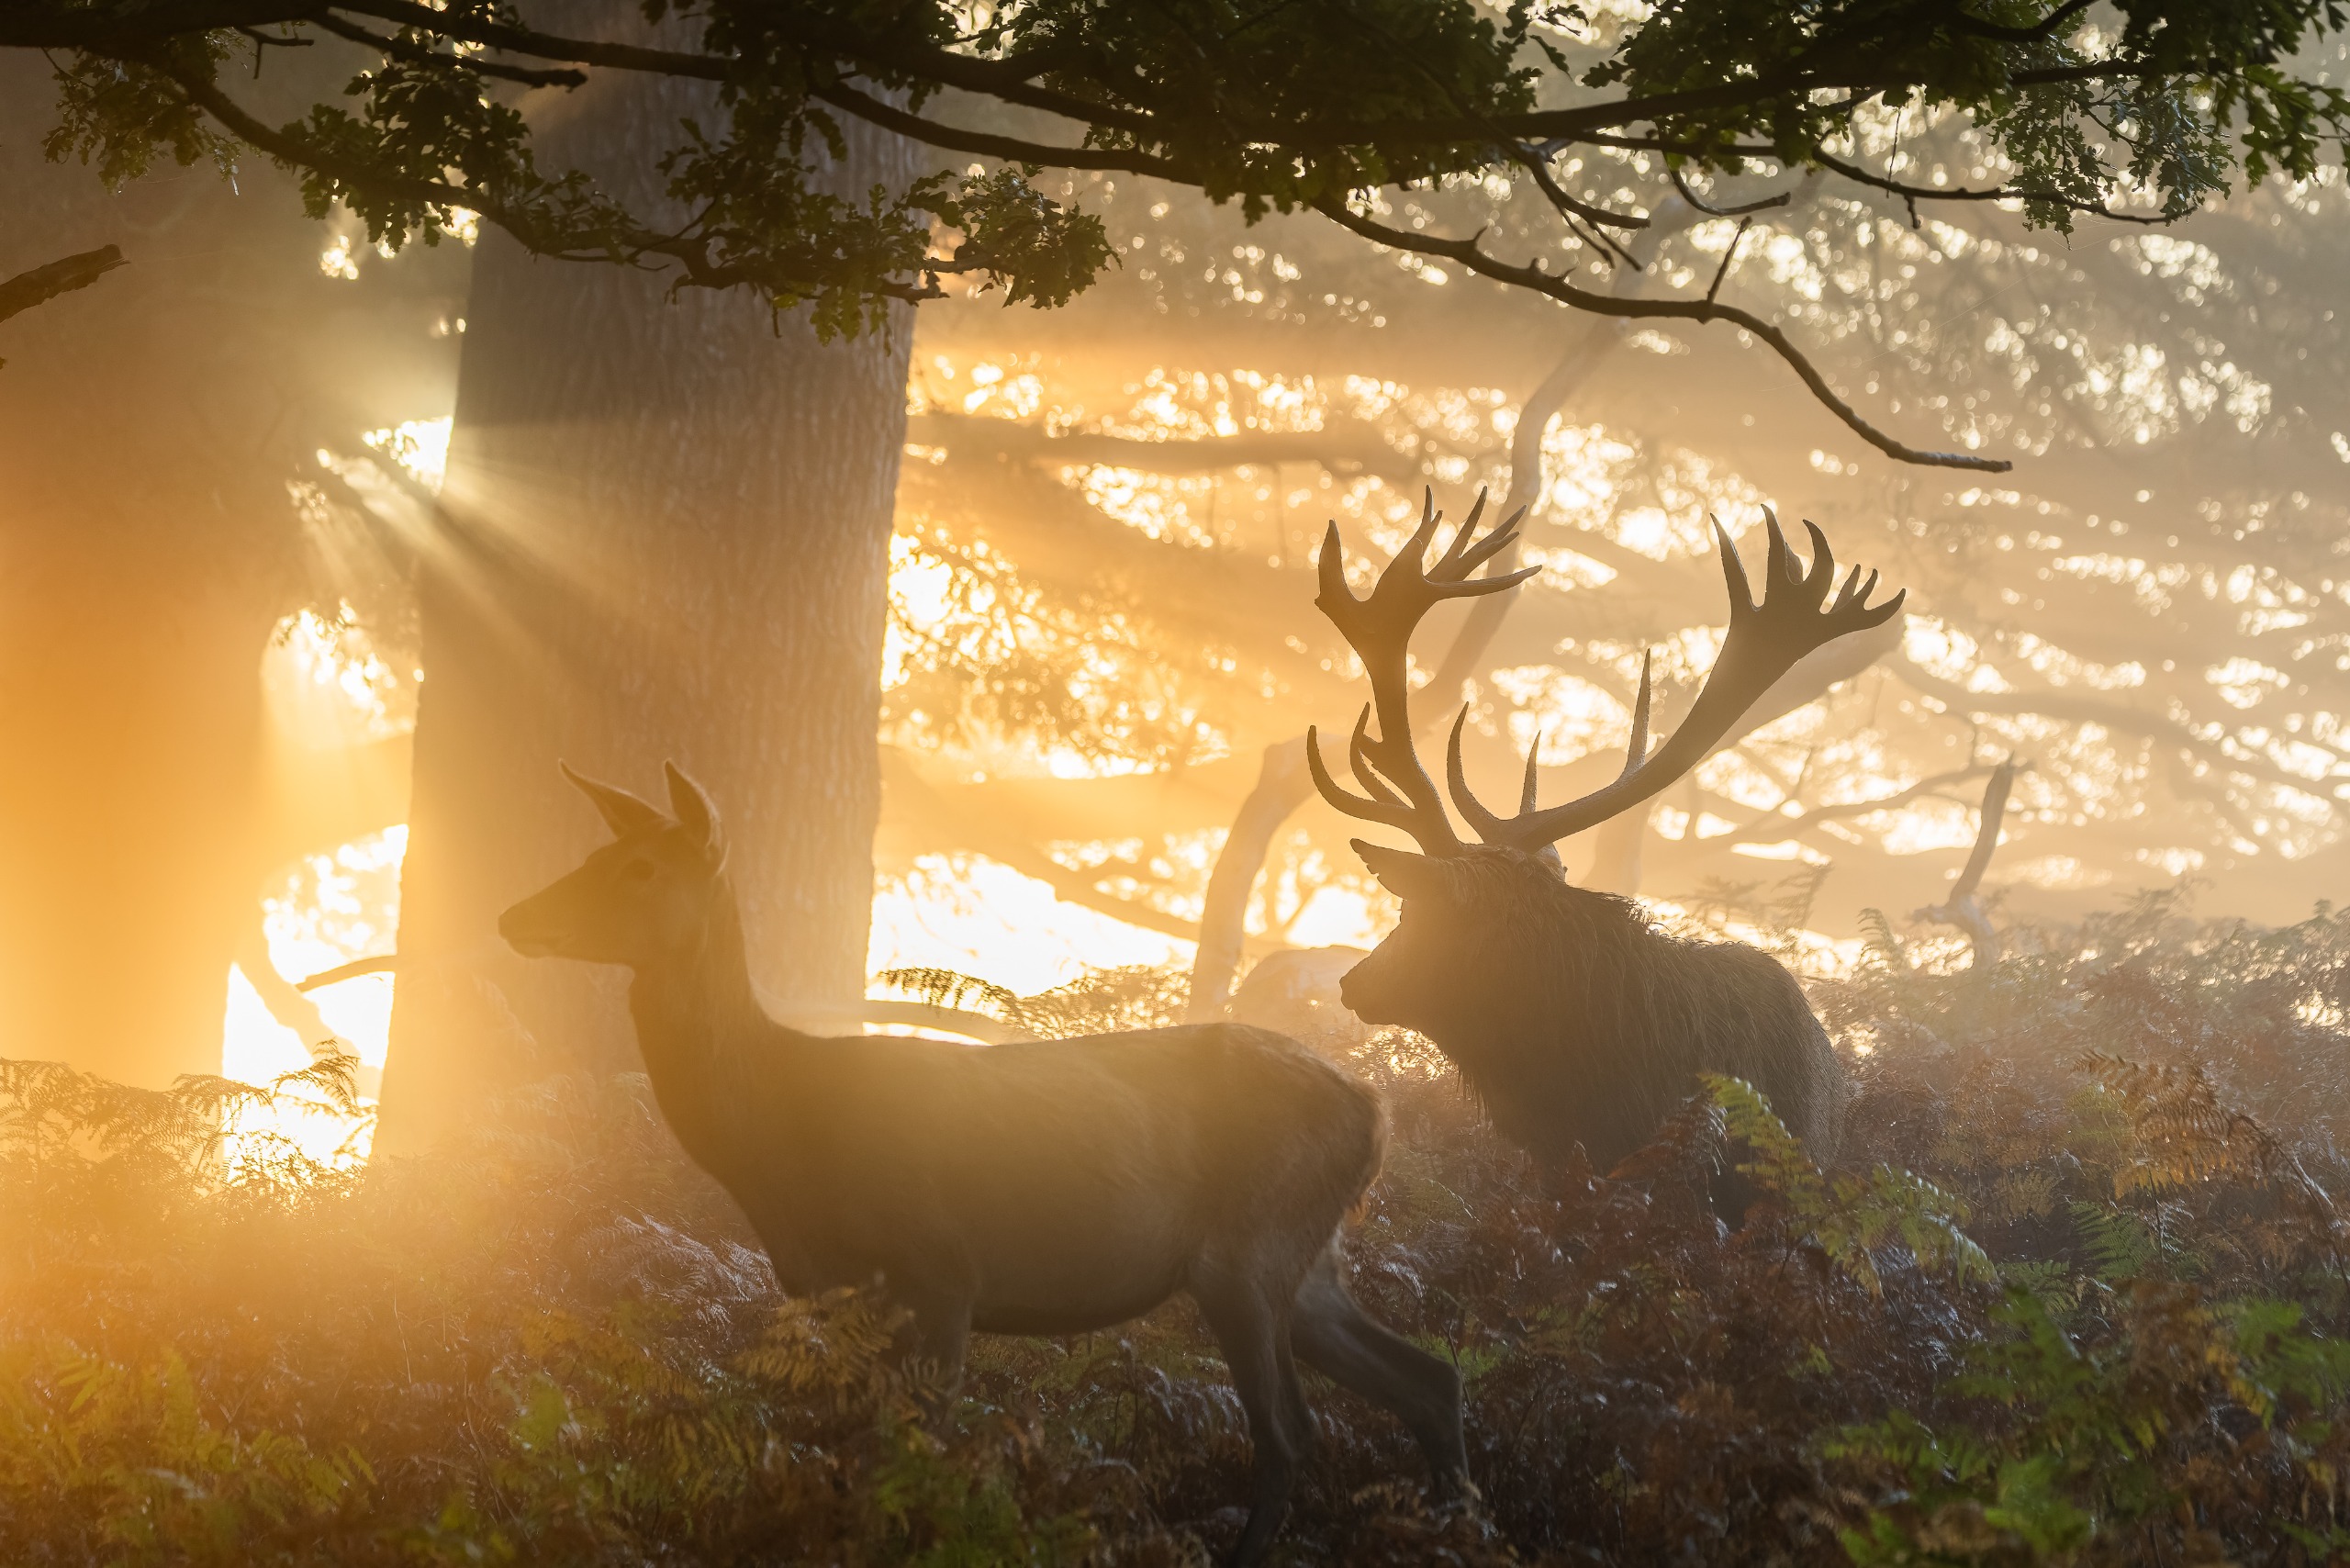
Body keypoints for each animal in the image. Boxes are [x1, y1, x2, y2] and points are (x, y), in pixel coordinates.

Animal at [498, 764, 1467, 1566]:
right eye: (597, 852)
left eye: (640, 870)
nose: (515, 915)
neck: (780, 1142)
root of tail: (1374, 1114)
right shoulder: (835, 1295)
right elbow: (854, 1459)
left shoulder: (940, 1269)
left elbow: (917, 1453)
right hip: (1308, 1261)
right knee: (1431, 1379)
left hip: (1249, 1250)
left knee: (1292, 1431)